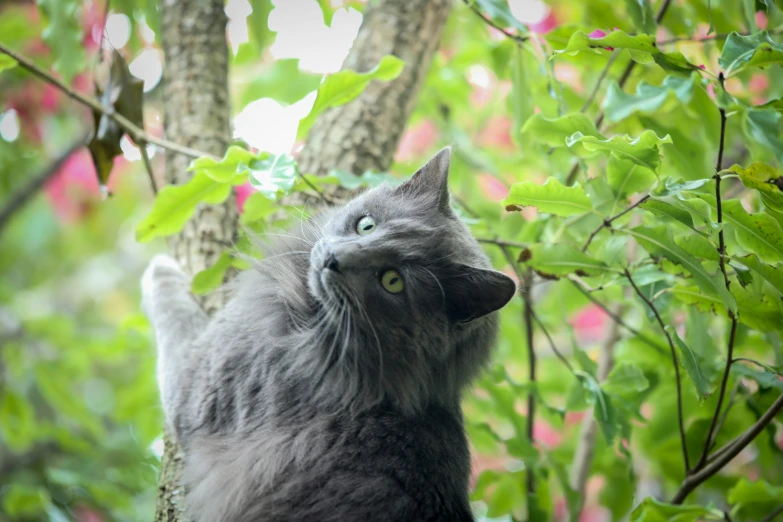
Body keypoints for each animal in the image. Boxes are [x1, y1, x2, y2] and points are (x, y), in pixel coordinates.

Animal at [142, 147, 516, 520]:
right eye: (366, 225)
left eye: (392, 281)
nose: (334, 259)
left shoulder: (200, 384)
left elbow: (172, 307)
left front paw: (160, 266)